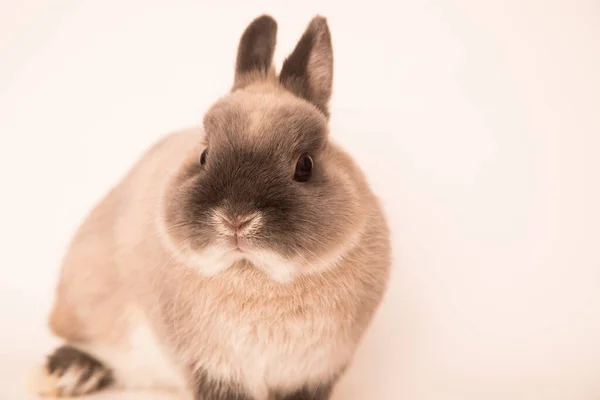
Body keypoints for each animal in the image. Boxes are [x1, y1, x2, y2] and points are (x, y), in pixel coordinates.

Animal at [30, 13, 392, 400]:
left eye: (305, 166)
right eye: (204, 155)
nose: (236, 219)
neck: (256, 276)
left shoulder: (315, 371)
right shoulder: (211, 369)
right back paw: (70, 374)